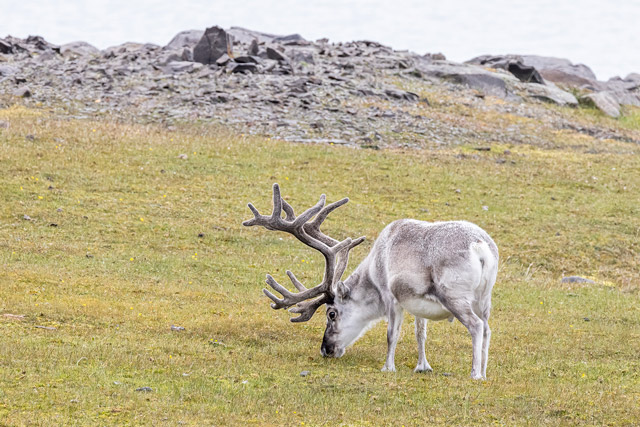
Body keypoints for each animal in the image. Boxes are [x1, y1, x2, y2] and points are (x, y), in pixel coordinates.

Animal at [243, 184, 499, 379]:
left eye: (331, 313)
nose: (326, 350)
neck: (373, 273)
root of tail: (480, 246)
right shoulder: (417, 303)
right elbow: (420, 332)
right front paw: (422, 366)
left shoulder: (390, 295)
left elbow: (391, 334)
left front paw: (388, 367)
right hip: (484, 298)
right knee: (487, 328)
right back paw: (485, 372)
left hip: (454, 296)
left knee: (476, 326)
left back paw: (475, 373)